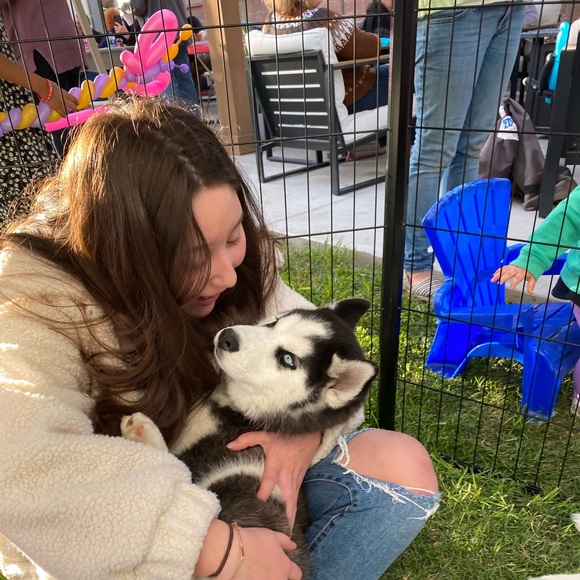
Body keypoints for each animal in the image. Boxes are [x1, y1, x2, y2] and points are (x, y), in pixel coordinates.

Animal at [121, 298, 378, 578]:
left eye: (288, 359)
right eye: (275, 321)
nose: (227, 337)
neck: (240, 410)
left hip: (240, 493)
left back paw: (140, 431)